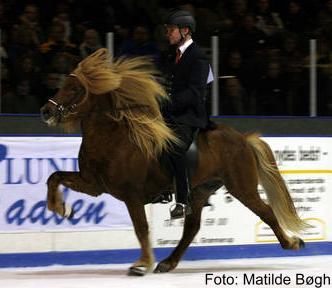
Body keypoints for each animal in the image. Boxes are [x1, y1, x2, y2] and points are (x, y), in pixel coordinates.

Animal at [40, 48, 308, 276]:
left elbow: (141, 228)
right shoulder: (94, 184)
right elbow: (54, 177)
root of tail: (242, 138)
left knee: (266, 211)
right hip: (200, 191)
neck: (113, 138)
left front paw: (141, 264)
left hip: (242, 187)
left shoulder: (131, 194)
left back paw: (292, 242)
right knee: (192, 228)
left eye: (75, 89)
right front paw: (61, 208)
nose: (46, 111)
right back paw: (167, 263)